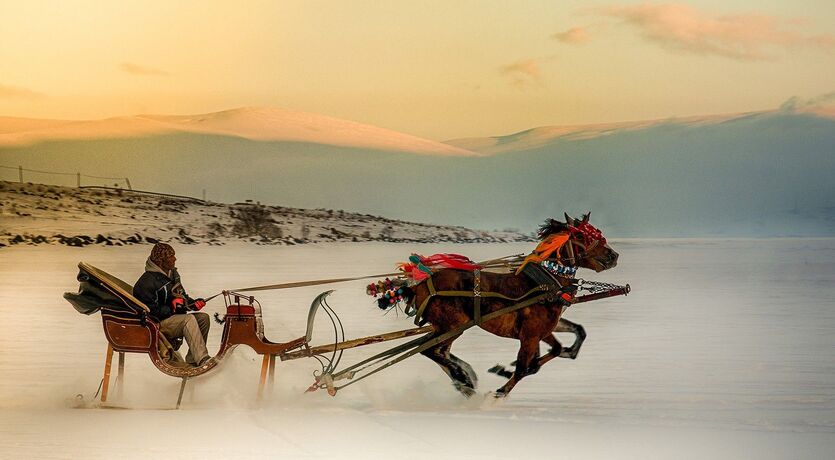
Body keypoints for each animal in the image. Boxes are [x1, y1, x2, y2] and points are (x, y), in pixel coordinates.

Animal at [408, 212, 616, 396]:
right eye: (581, 235)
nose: (614, 255)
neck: (544, 285)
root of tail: (420, 285)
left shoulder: (543, 330)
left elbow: (568, 339)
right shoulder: (531, 334)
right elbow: (524, 368)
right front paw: (499, 391)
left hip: (445, 328)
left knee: (439, 352)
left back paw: (464, 379)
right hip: (452, 326)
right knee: (430, 350)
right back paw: (462, 377)